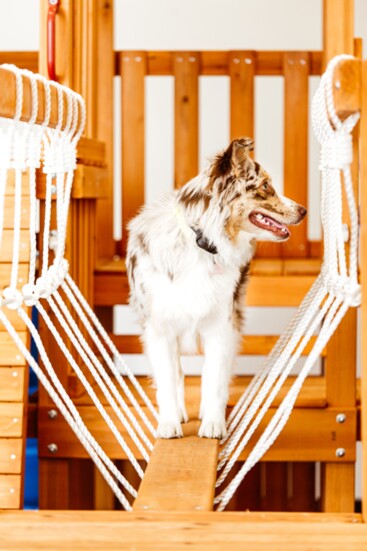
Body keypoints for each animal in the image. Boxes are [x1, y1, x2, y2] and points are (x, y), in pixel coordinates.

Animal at [127, 138, 308, 440]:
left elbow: (213, 377)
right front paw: (169, 423)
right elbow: (168, 378)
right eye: (265, 186)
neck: (200, 242)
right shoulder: (160, 326)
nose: (304, 210)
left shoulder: (221, 324)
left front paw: (213, 423)